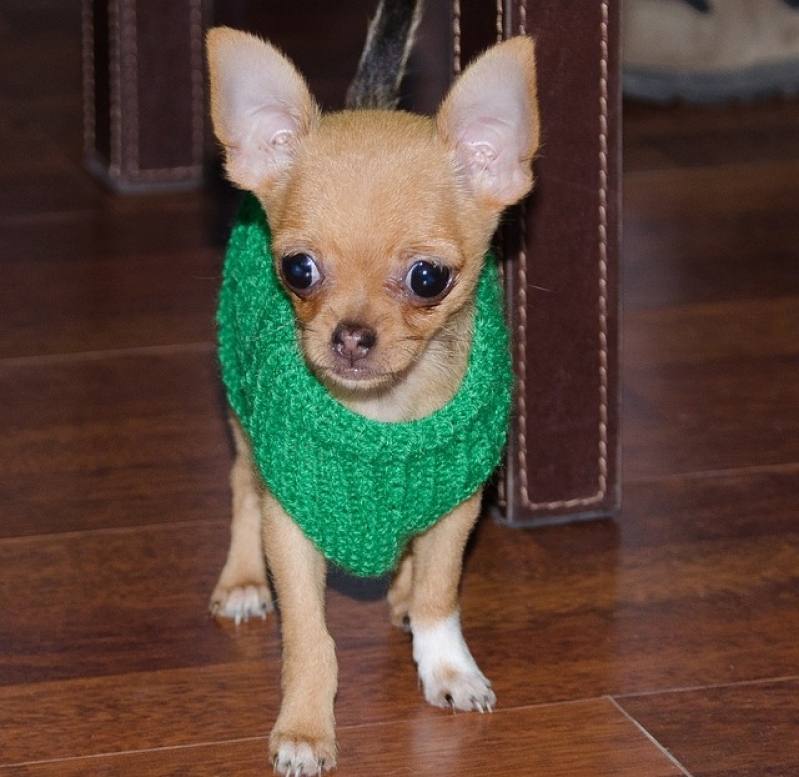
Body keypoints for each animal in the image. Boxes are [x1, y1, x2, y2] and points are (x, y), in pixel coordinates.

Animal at [209, 3, 540, 772]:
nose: (351, 337)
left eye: (428, 278)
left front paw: (446, 665)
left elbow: (441, 595)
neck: (382, 416)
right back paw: (241, 580)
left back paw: (400, 593)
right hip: (241, 412)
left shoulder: (456, 509)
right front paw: (305, 728)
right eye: (296, 269)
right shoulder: (290, 524)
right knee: (242, 484)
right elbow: (311, 639)